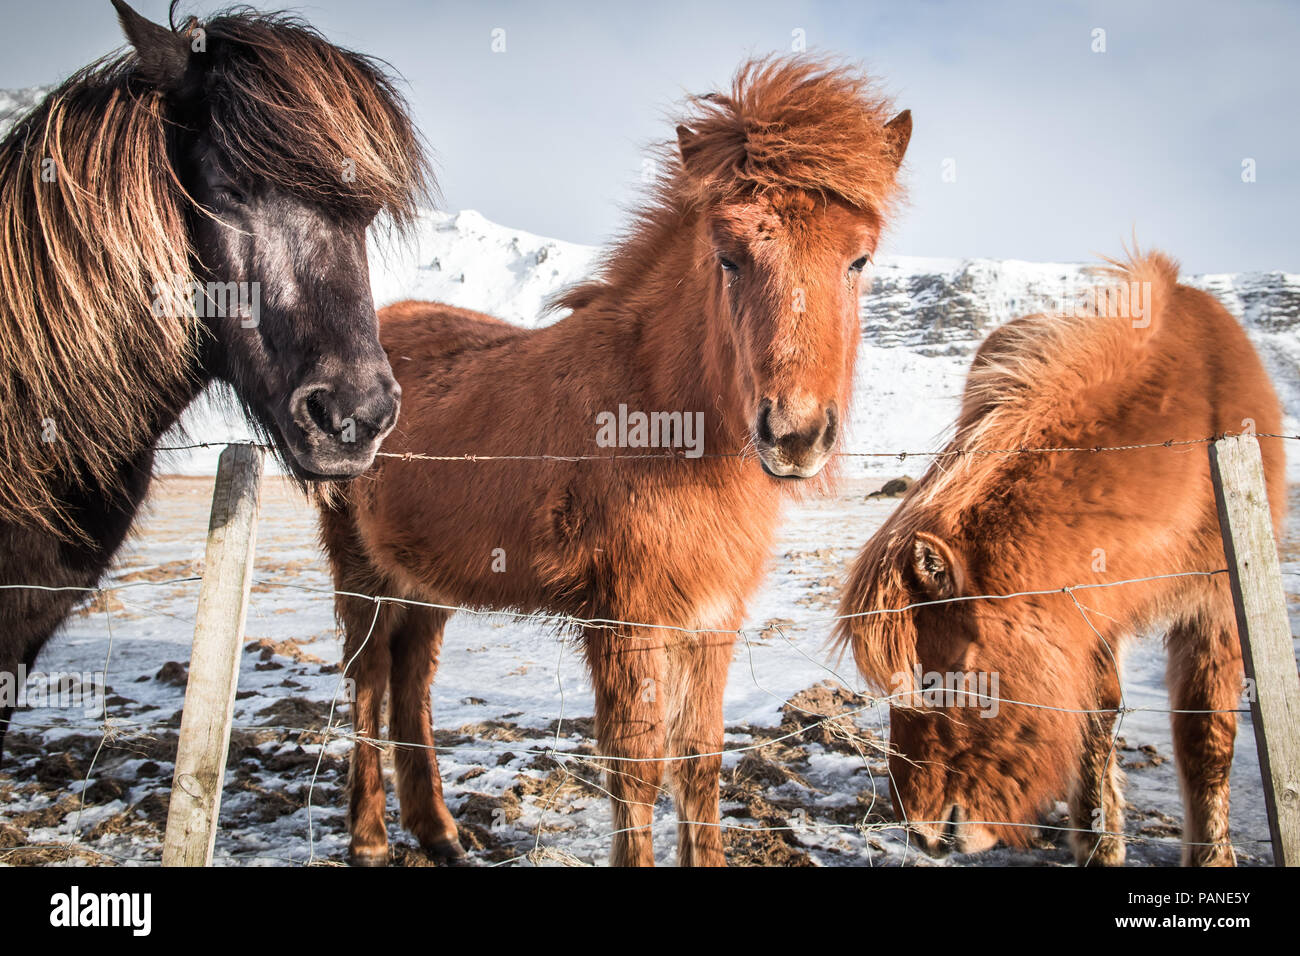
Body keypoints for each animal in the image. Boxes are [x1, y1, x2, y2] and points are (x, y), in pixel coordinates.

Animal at [318, 58, 912, 866]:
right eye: (728, 258)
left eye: (858, 258)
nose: (794, 435)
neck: (659, 414)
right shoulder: (625, 618)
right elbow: (636, 767)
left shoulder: (712, 618)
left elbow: (699, 761)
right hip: (360, 570)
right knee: (368, 680)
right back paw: (372, 838)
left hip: (423, 579)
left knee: (413, 679)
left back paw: (438, 833)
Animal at [835, 252, 1287, 866]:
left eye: (937, 679)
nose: (922, 834)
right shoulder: (1086, 616)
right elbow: (1094, 723)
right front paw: (1099, 845)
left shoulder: (1216, 606)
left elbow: (1206, 739)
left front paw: (1211, 856)